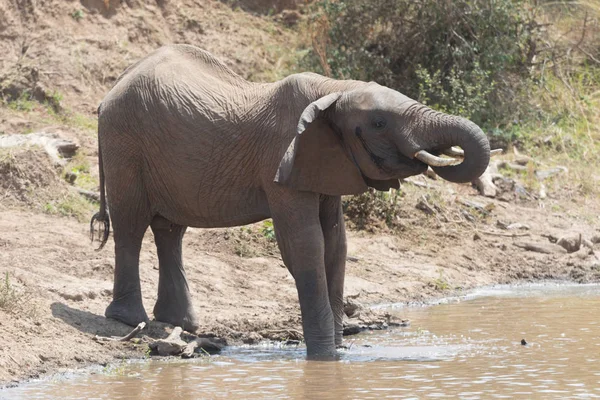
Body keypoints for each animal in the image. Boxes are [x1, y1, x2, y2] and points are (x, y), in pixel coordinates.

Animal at [90, 44, 492, 360]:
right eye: (379, 123)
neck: (335, 89)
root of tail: (111, 90)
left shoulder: (325, 160)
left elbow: (336, 243)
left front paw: (339, 352)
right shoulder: (280, 160)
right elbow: (306, 244)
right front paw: (325, 358)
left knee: (170, 230)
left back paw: (180, 322)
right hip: (124, 141)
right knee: (131, 223)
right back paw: (128, 319)